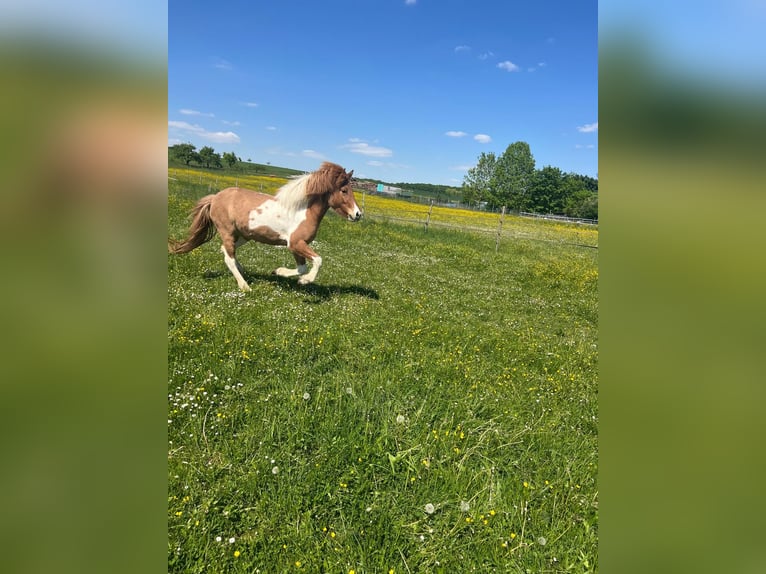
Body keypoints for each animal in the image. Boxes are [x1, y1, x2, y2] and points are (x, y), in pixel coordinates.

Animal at [169, 162, 362, 291]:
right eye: (344, 190)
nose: (358, 214)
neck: (302, 210)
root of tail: (214, 197)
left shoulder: (295, 246)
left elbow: (302, 268)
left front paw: (278, 272)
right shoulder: (296, 243)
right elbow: (318, 261)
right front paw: (305, 281)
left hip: (243, 235)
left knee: (226, 251)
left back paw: (245, 272)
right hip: (228, 232)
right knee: (228, 257)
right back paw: (245, 286)